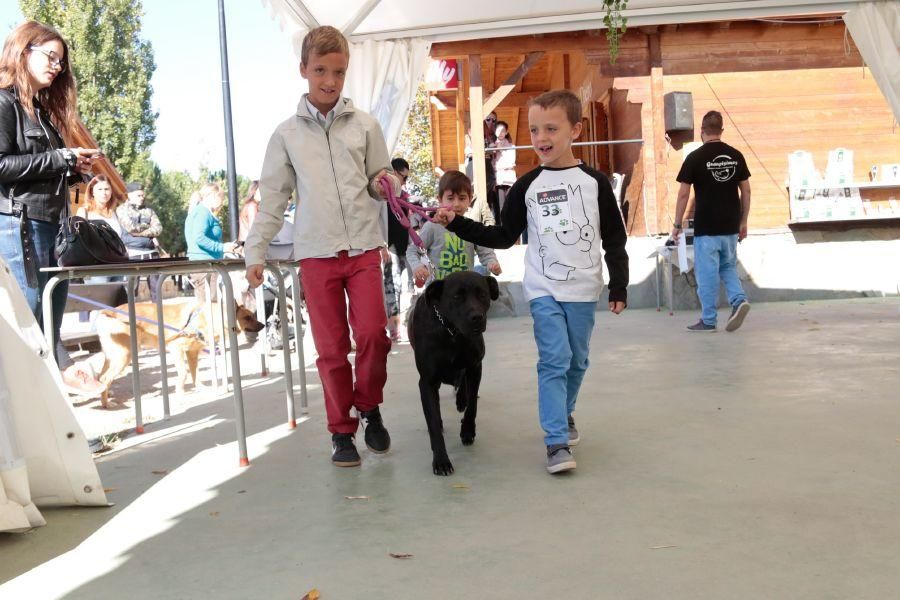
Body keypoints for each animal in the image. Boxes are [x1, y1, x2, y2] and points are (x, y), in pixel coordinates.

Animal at [95, 296, 264, 406]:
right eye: (247, 317)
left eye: (253, 316)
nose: (263, 325)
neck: (206, 318)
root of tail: (109, 312)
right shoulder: (176, 350)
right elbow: (184, 373)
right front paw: (180, 393)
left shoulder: (192, 353)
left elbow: (195, 374)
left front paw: (200, 388)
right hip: (124, 356)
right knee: (104, 378)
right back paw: (106, 405)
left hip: (112, 357)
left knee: (100, 376)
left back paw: (105, 394)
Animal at [408, 270, 500, 474]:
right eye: (457, 296)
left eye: (482, 294)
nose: (477, 317)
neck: (452, 334)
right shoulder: (427, 382)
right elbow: (433, 422)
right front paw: (441, 460)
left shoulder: (475, 367)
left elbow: (472, 404)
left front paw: (467, 430)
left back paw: (460, 400)